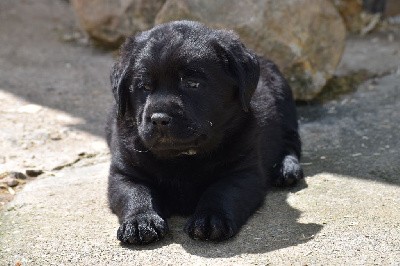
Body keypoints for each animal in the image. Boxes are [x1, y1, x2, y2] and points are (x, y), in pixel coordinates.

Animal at [106, 20, 304, 245]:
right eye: (144, 86)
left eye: (193, 84)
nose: (159, 119)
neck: (182, 157)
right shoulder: (124, 171)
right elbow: (136, 193)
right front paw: (141, 221)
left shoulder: (243, 171)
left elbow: (221, 192)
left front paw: (210, 219)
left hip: (284, 103)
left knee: (291, 142)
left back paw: (286, 168)